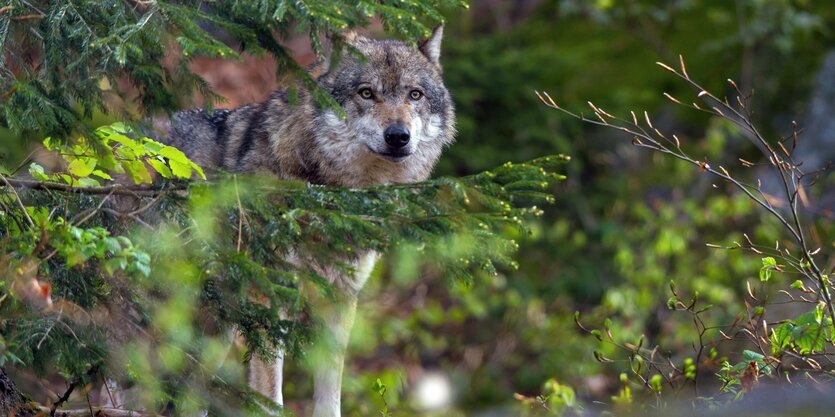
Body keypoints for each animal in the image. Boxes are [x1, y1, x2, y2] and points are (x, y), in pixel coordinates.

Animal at [157, 26, 458, 416]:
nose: (398, 136)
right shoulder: (271, 297)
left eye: (415, 94)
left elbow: (330, 394)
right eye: (366, 92)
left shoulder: (341, 299)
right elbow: (270, 394)